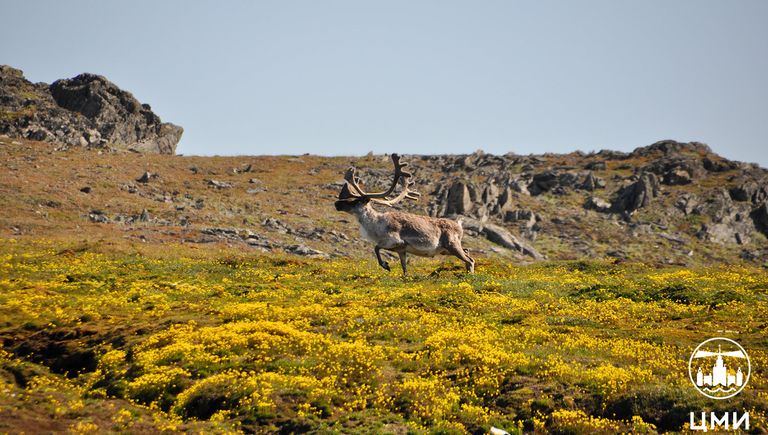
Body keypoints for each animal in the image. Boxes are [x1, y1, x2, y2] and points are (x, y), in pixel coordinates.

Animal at [334, 153, 475, 275]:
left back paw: (470, 275)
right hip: (445, 250)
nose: (337, 204)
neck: (376, 225)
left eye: (356, 201)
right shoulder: (401, 250)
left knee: (470, 259)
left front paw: (385, 265)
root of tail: (459, 224)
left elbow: (376, 248)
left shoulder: (395, 241)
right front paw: (404, 276)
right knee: (468, 252)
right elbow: (404, 268)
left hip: (451, 244)